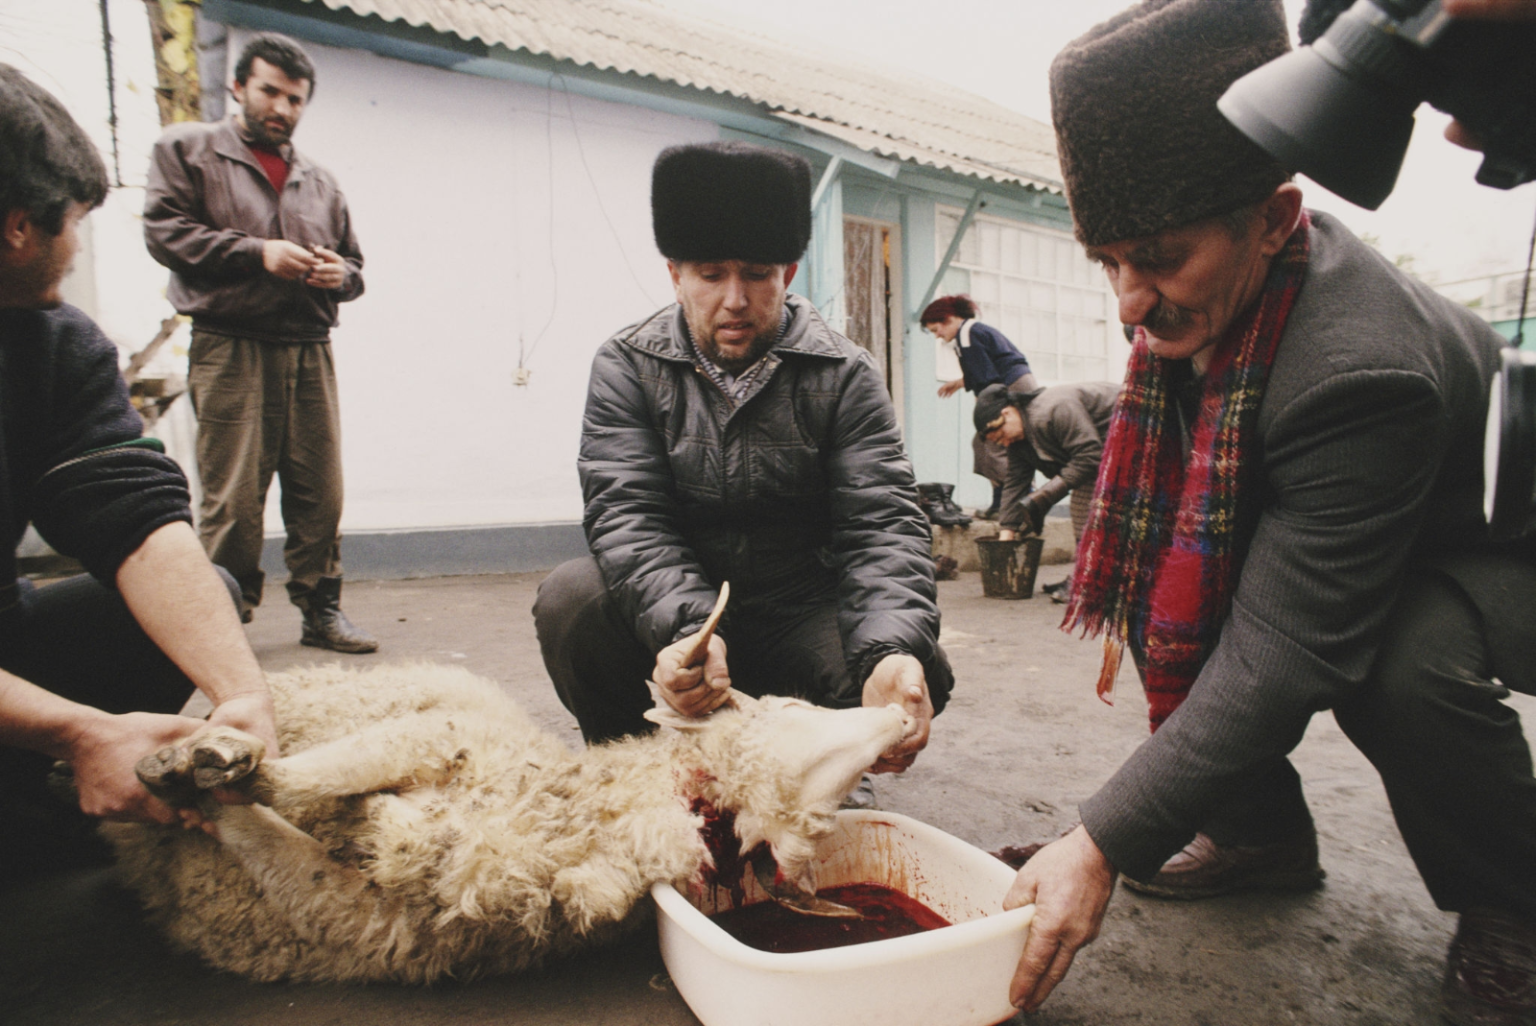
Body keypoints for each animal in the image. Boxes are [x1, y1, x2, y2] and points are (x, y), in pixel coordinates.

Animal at [102, 660, 909, 982]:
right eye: (793, 706)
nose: (903, 715)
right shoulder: (437, 735)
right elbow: (310, 779)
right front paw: (204, 760)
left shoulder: (352, 914)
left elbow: (261, 826)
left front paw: (205, 780)